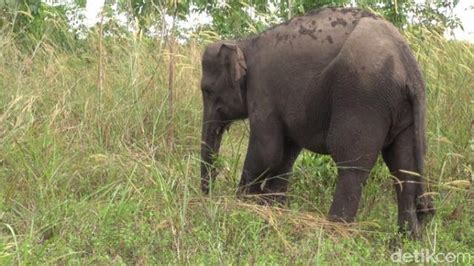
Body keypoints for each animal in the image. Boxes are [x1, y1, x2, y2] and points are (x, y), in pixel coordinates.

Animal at [198, 6, 436, 237]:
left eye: (207, 91)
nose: (207, 196)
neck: (244, 42)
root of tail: (409, 68)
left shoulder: (263, 90)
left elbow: (266, 152)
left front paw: (241, 207)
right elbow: (285, 155)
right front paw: (271, 208)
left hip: (363, 98)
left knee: (351, 166)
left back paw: (335, 234)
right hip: (404, 112)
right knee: (404, 170)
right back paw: (406, 240)